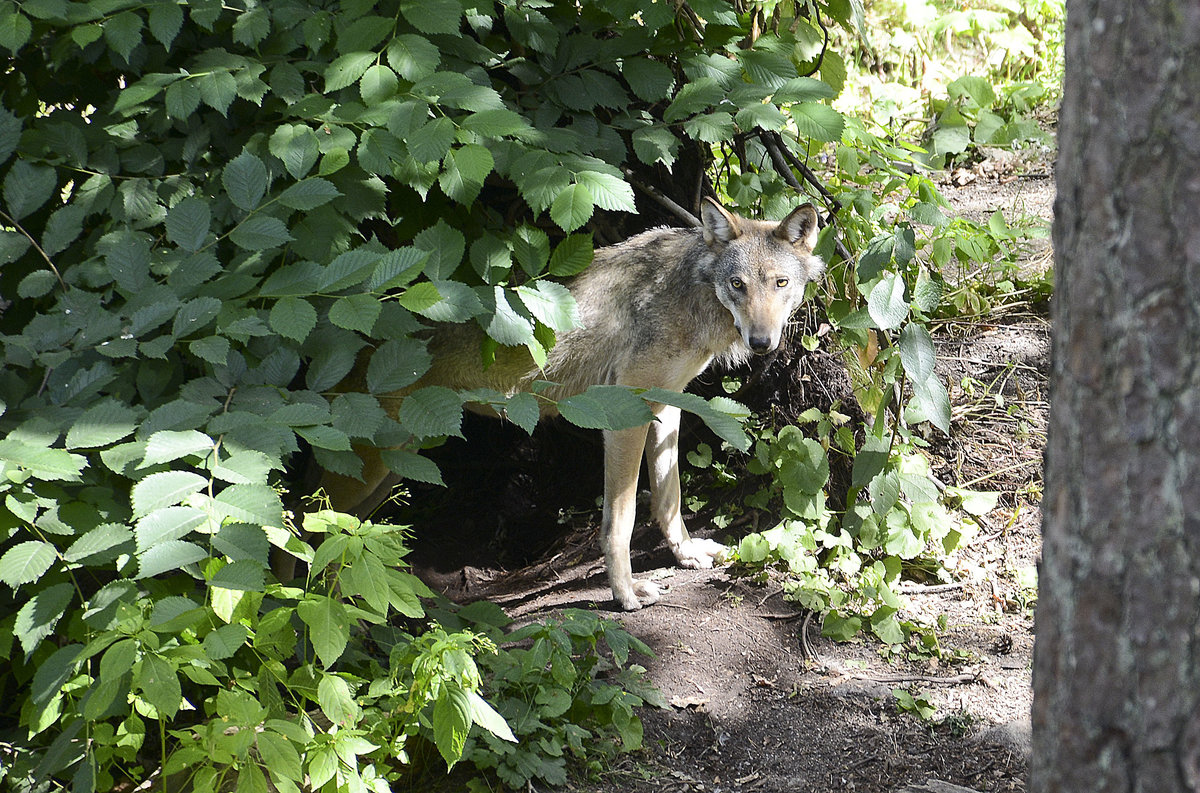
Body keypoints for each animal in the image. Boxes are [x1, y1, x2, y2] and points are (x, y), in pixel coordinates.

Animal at [319, 197, 825, 611]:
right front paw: (626, 593)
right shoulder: (624, 414)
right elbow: (622, 518)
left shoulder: (666, 406)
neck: (689, 294)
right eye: (737, 285)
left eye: (780, 283)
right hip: (368, 468)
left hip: (396, 463)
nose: (761, 342)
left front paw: (687, 554)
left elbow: (670, 496)